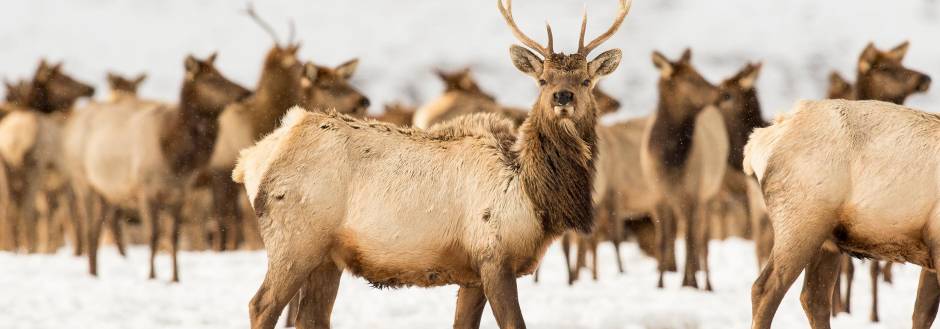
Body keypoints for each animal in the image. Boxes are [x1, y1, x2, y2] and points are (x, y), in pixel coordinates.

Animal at [233, 0, 632, 326]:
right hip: (295, 240)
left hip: (327, 255)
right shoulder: (493, 256)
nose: (563, 97)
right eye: (543, 79)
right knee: (260, 305)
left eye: (586, 80)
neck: (534, 197)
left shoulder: (473, 274)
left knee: (311, 317)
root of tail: (251, 159)